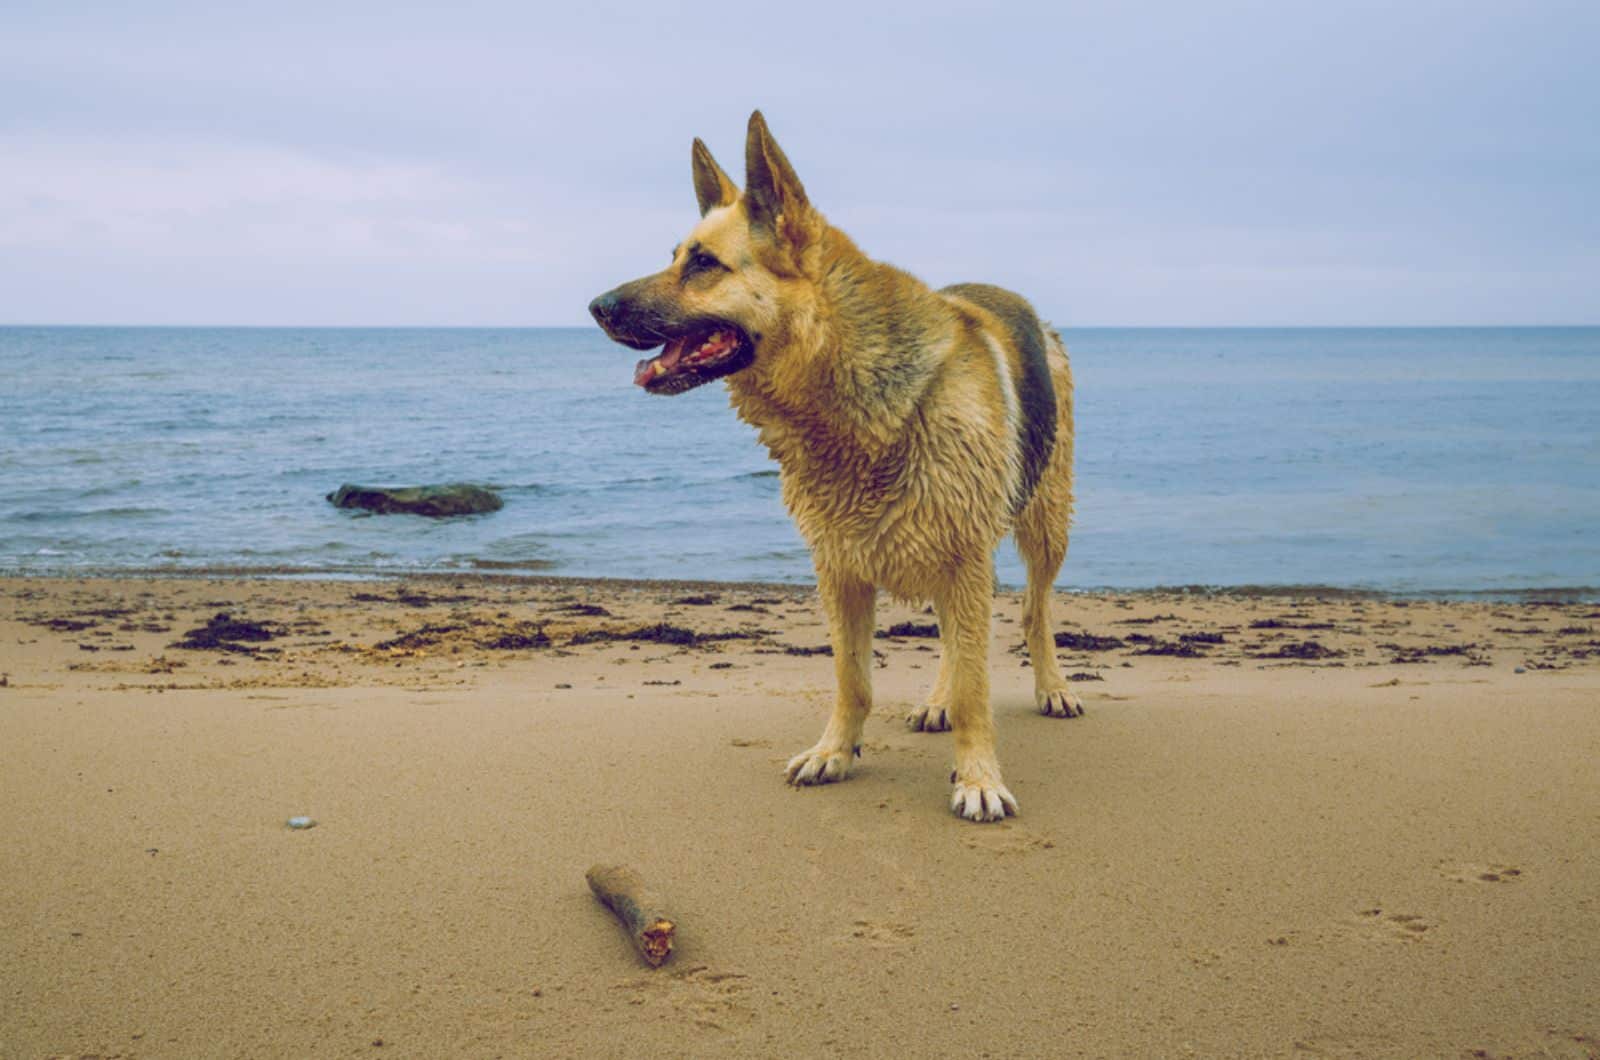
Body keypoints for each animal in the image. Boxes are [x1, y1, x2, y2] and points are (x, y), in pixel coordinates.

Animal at [585, 114, 1075, 819]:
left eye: (703, 264)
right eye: (677, 255)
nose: (596, 306)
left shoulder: (961, 560)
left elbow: (976, 687)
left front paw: (978, 777)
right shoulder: (840, 569)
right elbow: (852, 677)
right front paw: (836, 752)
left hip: (1043, 528)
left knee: (1033, 612)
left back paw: (1052, 687)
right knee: (955, 644)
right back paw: (935, 701)